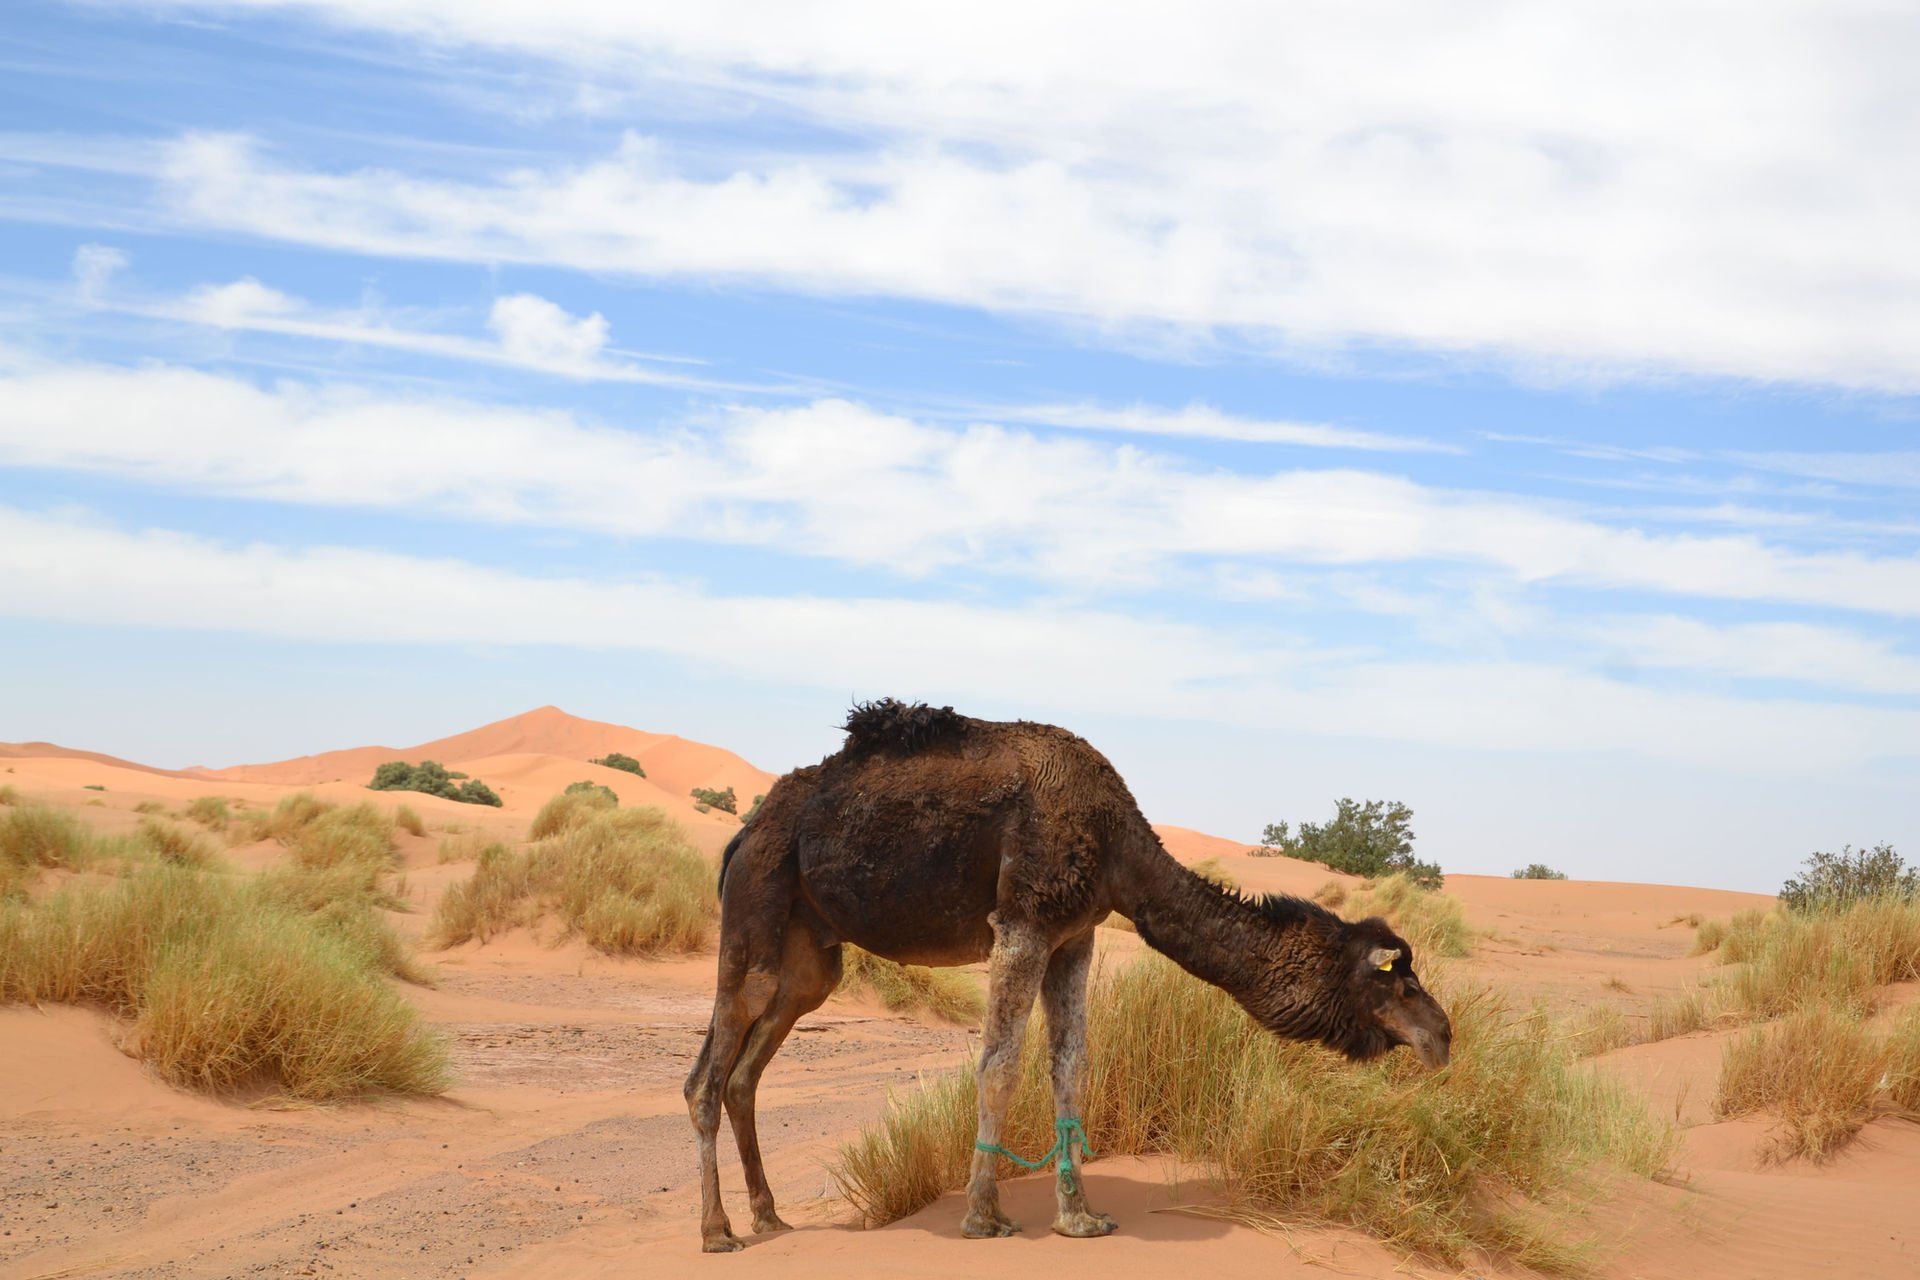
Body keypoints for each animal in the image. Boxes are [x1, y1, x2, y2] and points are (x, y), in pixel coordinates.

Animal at [686, 700, 1452, 1252]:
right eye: (1393, 980)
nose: (1443, 1036)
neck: (1118, 848)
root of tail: (743, 832)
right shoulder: (1023, 922)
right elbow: (1000, 1066)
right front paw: (984, 1218)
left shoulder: (1073, 936)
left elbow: (1071, 1065)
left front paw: (1079, 1217)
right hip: (757, 903)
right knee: (711, 1066)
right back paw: (717, 1232)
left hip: (813, 956)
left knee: (748, 1069)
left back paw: (770, 1219)